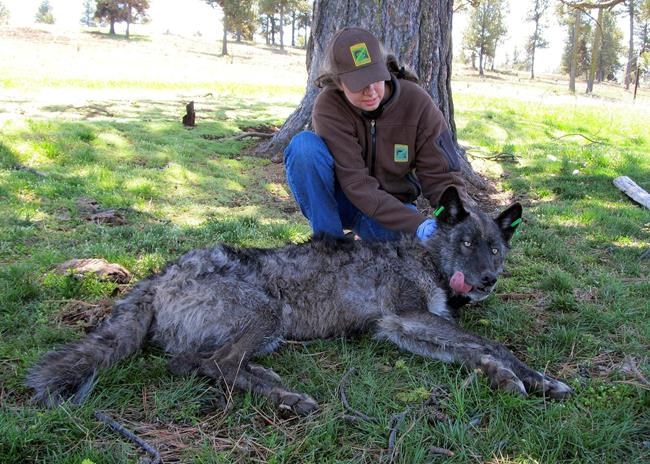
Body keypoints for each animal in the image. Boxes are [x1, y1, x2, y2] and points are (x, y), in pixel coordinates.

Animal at [27, 187, 572, 414]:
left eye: (495, 248)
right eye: (467, 243)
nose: (487, 281)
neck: (425, 256)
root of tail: (162, 274)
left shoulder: (401, 328)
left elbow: (472, 351)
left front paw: (510, 378)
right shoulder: (410, 316)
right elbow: (489, 344)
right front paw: (530, 377)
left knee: (194, 362)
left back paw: (266, 379)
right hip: (268, 313)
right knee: (210, 364)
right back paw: (286, 398)